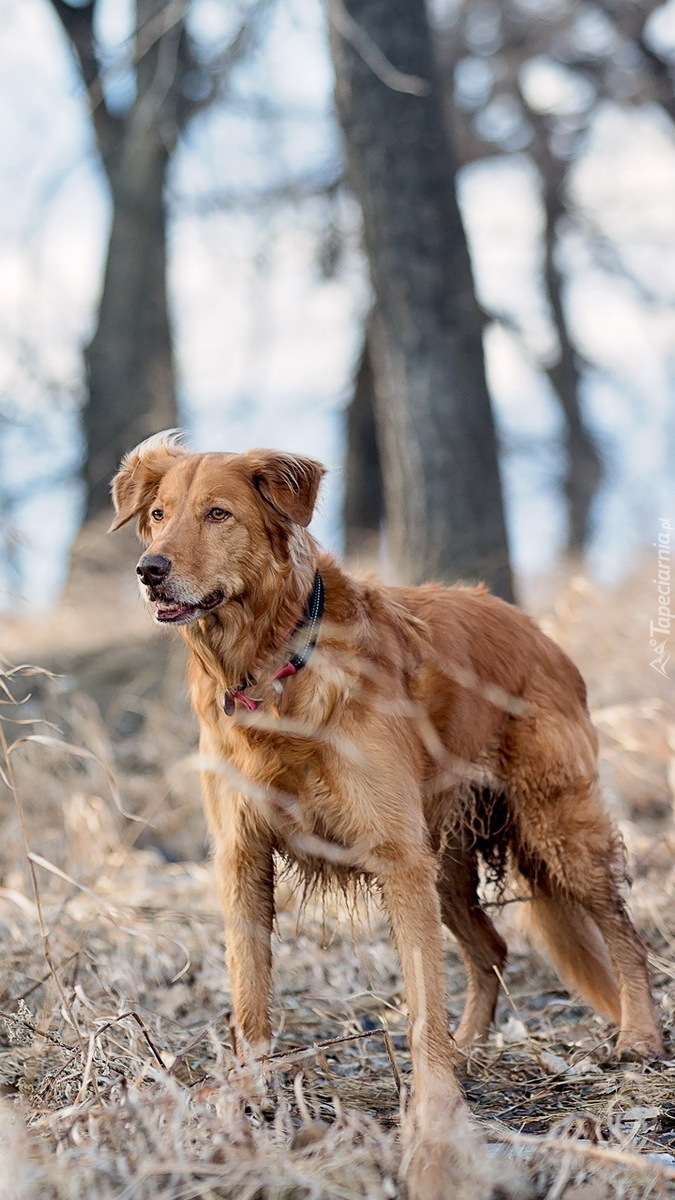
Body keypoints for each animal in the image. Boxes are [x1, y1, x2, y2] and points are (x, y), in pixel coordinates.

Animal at [111, 436, 662, 1195]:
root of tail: (533, 626)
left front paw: (432, 1127)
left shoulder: (399, 859)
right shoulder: (242, 855)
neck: (275, 666)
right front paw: (244, 1101)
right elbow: (250, 996)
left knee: (620, 930)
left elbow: (421, 1007)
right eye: (158, 515)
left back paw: (638, 1037)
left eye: (218, 513)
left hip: (555, 828)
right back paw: (470, 1048)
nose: (149, 570)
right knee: (491, 950)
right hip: (446, 865)